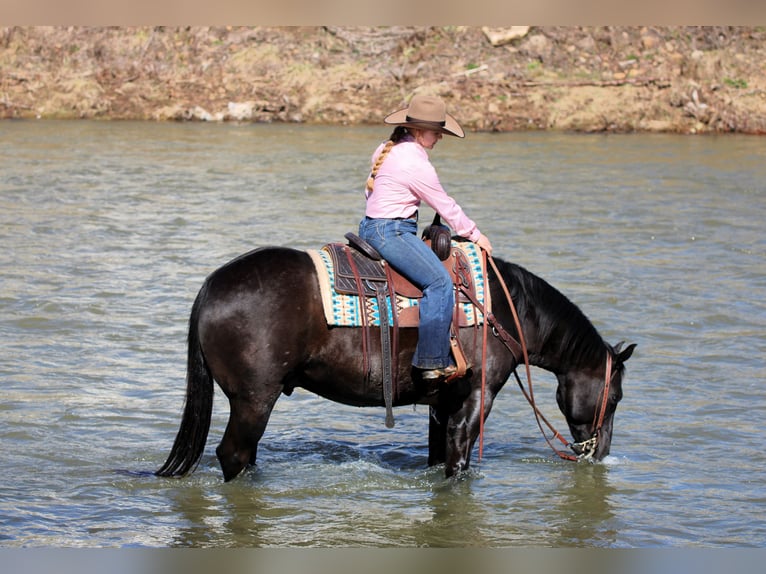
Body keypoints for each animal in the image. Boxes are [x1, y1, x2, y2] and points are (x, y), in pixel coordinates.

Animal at [155, 244, 635, 482]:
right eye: (614, 398)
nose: (599, 454)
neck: (503, 307)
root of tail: (212, 285)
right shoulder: (476, 399)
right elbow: (458, 465)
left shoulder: (443, 404)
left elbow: (439, 457)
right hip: (254, 400)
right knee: (232, 455)